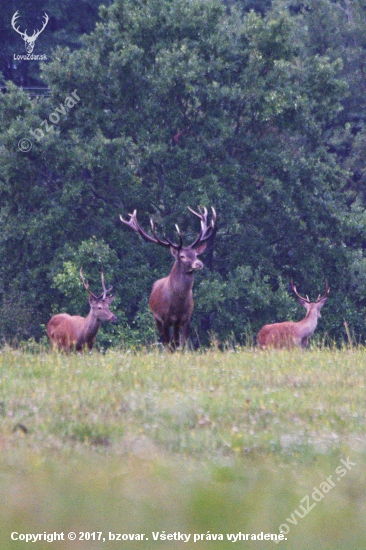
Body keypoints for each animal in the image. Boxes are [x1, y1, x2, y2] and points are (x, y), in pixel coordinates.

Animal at [120, 207, 217, 350]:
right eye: (182, 256)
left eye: (195, 254)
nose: (199, 263)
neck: (178, 303)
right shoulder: (164, 318)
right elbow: (168, 344)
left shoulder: (186, 318)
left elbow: (181, 344)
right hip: (156, 318)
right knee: (166, 342)